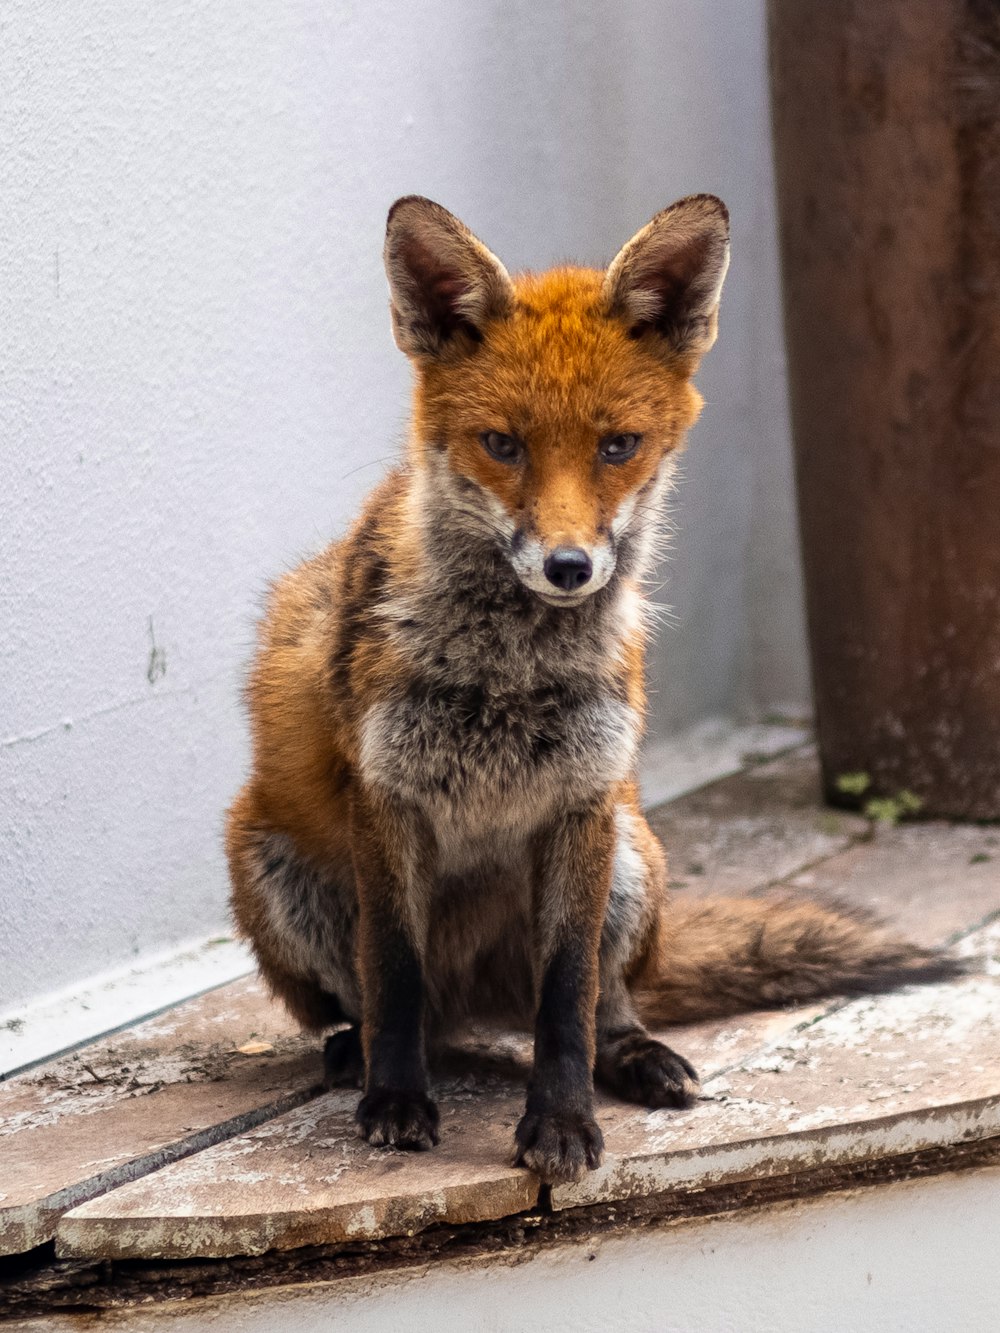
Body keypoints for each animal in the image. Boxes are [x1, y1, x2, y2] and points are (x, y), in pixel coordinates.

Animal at [226, 194, 954, 1178]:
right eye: (501, 444)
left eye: (619, 446)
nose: (568, 566)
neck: (507, 675)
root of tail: (478, 1001)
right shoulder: (387, 797)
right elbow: (397, 973)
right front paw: (397, 1096)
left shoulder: (580, 799)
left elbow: (567, 997)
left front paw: (562, 1121)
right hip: (271, 863)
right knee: (394, 1006)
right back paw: (357, 1052)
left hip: (632, 856)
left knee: (605, 999)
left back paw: (638, 1054)